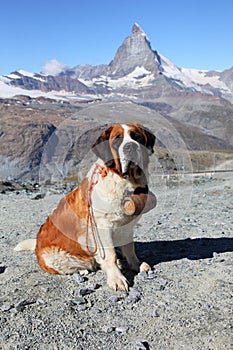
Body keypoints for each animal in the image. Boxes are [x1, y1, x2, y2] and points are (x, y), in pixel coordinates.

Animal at [15, 121, 157, 292]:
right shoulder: (102, 227)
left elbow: (129, 248)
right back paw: (83, 270)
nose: (131, 147)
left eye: (137, 137)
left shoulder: (127, 227)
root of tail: (37, 245)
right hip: (57, 257)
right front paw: (117, 278)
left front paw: (136, 264)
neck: (123, 181)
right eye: (117, 140)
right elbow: (110, 255)